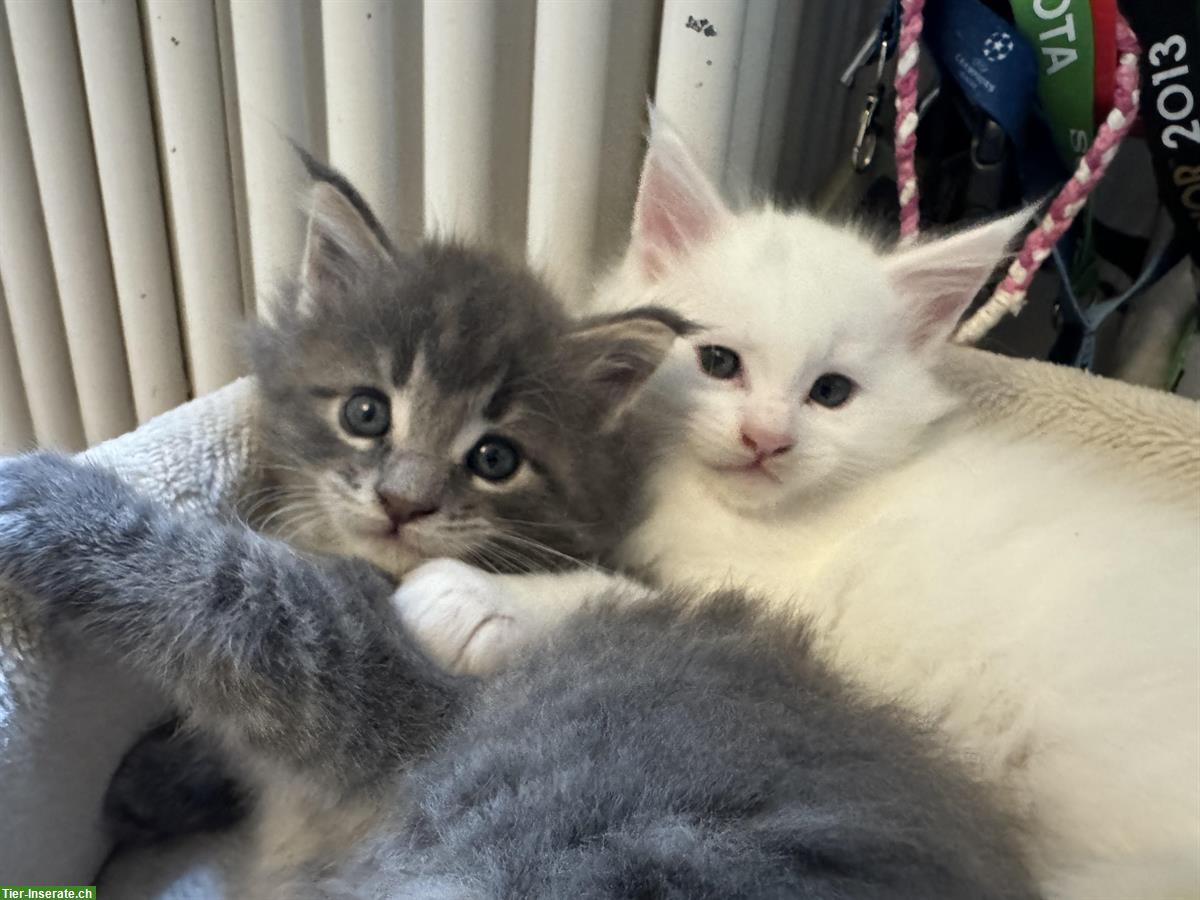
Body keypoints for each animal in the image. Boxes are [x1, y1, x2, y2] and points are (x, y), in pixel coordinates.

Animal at [398, 120, 1200, 900]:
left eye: (831, 392)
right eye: (718, 363)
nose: (767, 440)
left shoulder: (762, 604)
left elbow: (624, 598)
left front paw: (472, 599)